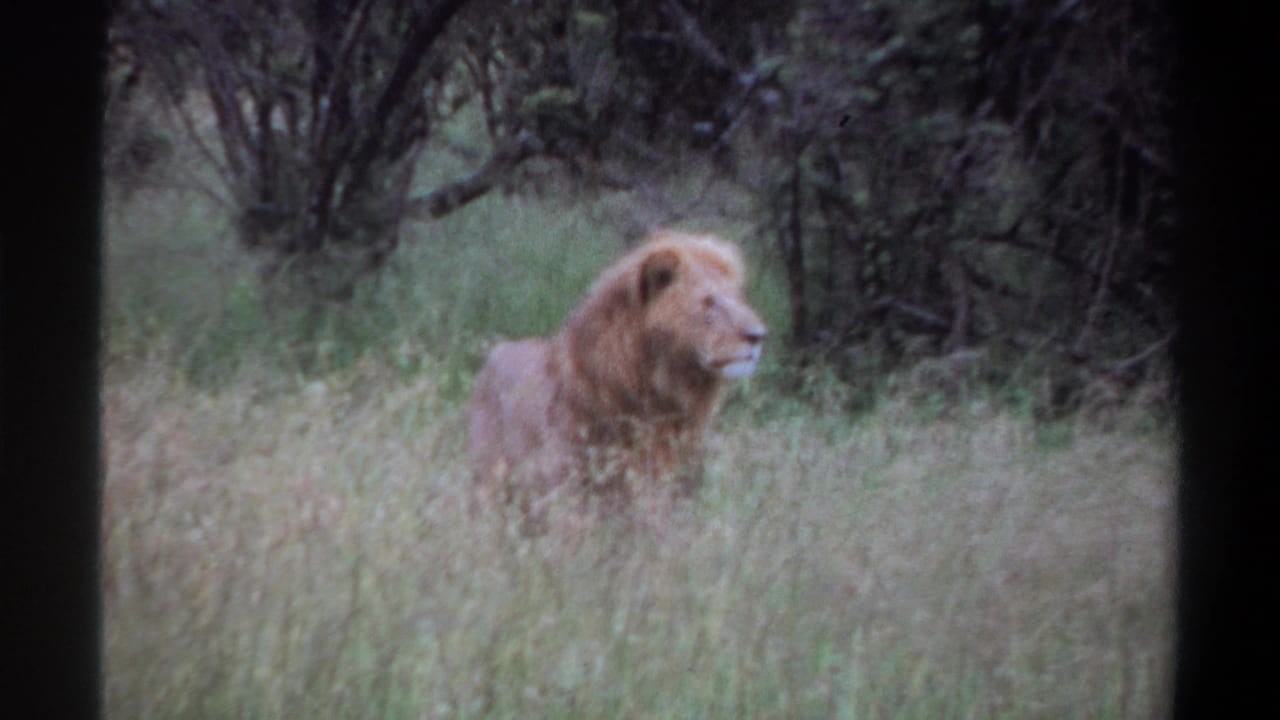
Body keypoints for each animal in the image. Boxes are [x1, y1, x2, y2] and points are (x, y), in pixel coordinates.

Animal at [467, 230, 766, 520]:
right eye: (709, 303)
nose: (759, 335)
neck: (661, 395)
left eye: (738, 298)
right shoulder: (568, 494)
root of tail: (493, 356)